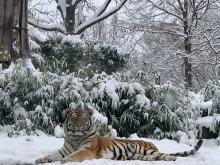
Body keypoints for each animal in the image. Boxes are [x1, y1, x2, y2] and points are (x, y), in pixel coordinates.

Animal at [35, 107, 203, 163]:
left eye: (83, 119)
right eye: (74, 118)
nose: (78, 127)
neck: (76, 137)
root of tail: (152, 144)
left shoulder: (87, 150)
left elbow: (75, 155)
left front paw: (65, 160)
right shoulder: (64, 149)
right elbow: (52, 154)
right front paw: (40, 159)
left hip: (146, 149)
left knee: (164, 155)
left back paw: (171, 158)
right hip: (139, 155)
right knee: (152, 158)